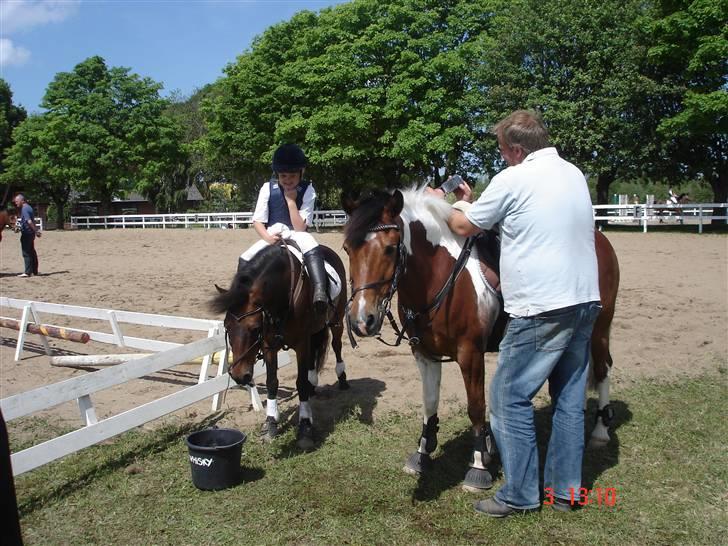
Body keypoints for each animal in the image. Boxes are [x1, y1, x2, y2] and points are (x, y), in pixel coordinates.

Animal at [344, 187, 616, 488]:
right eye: (347, 249)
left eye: (390, 248)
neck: (441, 278)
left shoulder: (470, 353)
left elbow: (475, 407)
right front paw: (423, 453)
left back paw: (600, 431)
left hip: (599, 328)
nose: (362, 320)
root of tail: (599, 239)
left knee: (602, 369)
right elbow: (429, 402)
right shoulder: (424, 353)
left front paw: (478, 465)